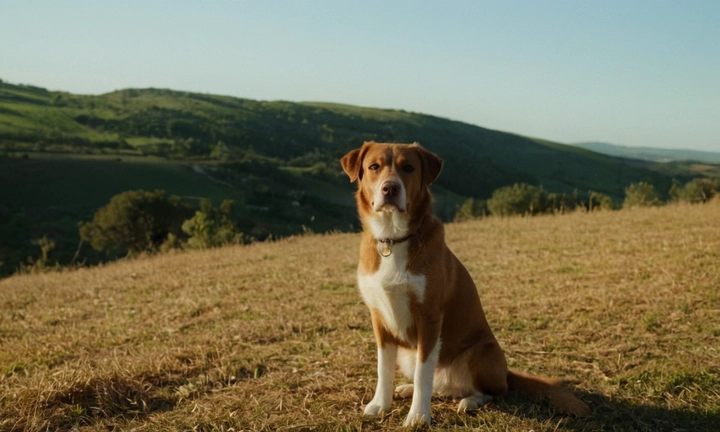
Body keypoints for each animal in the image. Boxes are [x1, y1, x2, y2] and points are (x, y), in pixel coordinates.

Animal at [340, 141, 588, 426]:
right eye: (374, 167)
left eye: (408, 167)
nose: (390, 188)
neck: (393, 239)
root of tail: (506, 372)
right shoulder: (379, 318)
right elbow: (384, 368)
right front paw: (380, 404)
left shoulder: (429, 318)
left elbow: (424, 372)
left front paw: (419, 416)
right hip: (408, 353)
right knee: (437, 384)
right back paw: (409, 389)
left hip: (482, 353)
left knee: (493, 391)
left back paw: (470, 401)